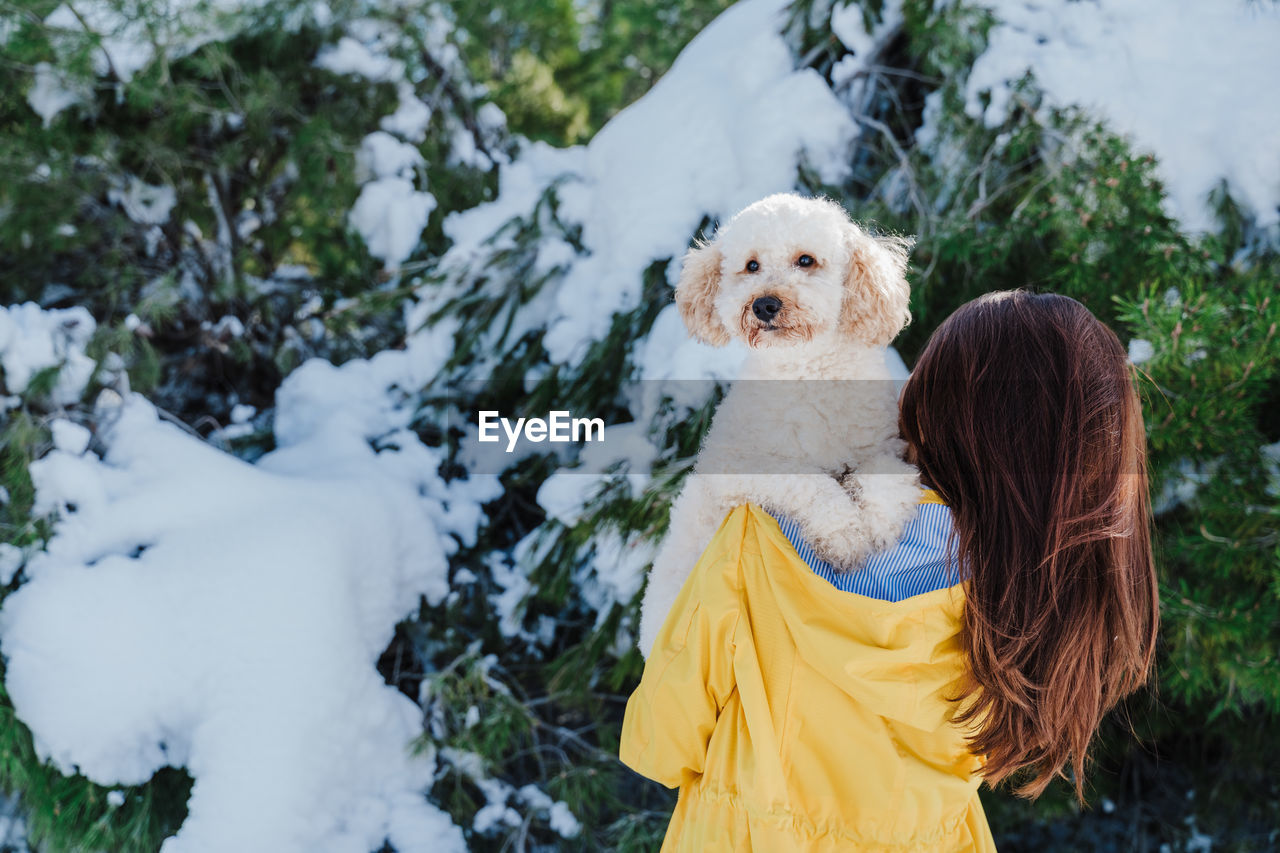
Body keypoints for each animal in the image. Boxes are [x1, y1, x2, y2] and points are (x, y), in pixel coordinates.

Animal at [637, 192, 921, 653]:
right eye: (751, 265)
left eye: (806, 260)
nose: (764, 304)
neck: (806, 372)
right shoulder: (736, 467)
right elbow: (810, 482)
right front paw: (845, 535)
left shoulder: (884, 446)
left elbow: (885, 479)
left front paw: (879, 525)